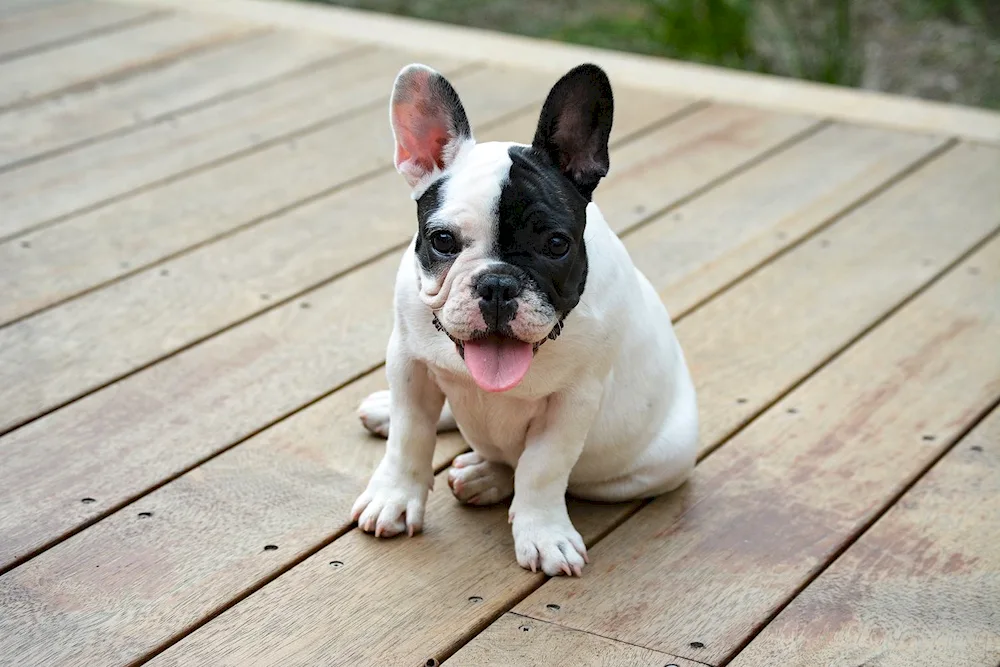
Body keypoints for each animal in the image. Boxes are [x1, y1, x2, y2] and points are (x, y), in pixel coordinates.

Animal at [350, 61, 696, 576]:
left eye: (556, 244)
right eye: (442, 241)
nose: (497, 284)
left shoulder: (575, 400)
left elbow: (543, 467)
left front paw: (544, 534)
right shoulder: (408, 363)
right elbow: (411, 437)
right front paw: (394, 496)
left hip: (662, 460)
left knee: (520, 464)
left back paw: (486, 477)